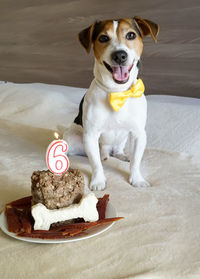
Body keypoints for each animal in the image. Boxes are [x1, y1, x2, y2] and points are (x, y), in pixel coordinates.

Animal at [64, 17, 159, 190]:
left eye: (131, 35)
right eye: (103, 38)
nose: (120, 55)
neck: (117, 92)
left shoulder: (138, 134)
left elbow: (136, 161)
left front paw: (137, 179)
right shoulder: (91, 135)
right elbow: (95, 164)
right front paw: (98, 181)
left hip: (123, 138)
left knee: (116, 150)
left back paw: (120, 155)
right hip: (74, 137)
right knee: (93, 154)